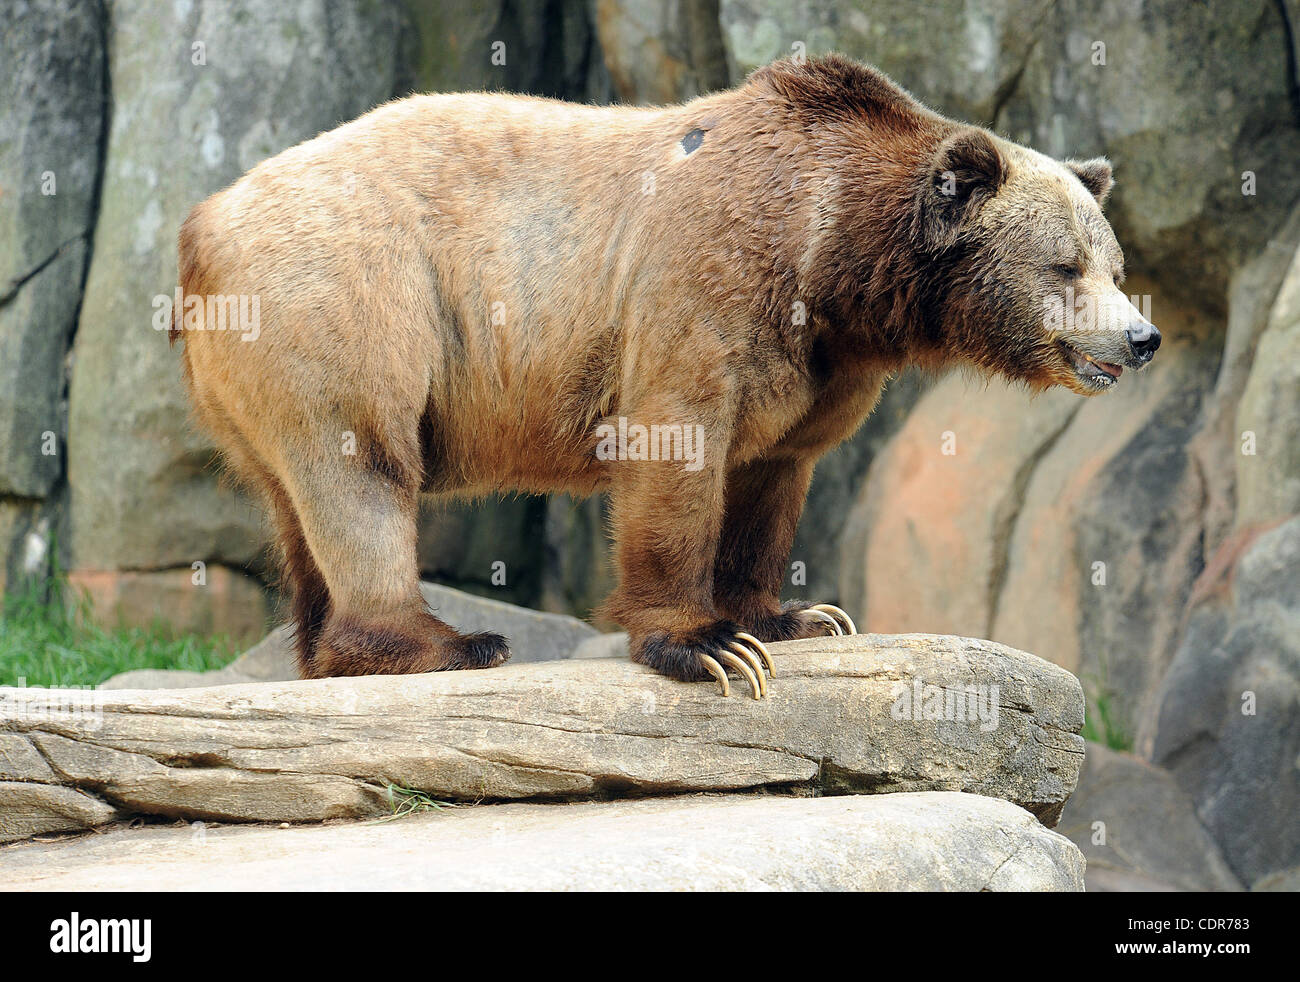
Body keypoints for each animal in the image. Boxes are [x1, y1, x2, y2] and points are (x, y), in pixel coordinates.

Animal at [172, 54, 1159, 699]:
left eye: (1113, 263)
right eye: (1066, 266)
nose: (1142, 336)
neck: (837, 260)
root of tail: (203, 220)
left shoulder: (821, 364)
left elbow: (770, 475)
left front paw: (797, 617)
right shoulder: (706, 281)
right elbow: (677, 446)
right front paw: (707, 646)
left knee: (297, 501)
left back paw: (325, 649)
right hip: (352, 297)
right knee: (361, 467)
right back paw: (445, 641)